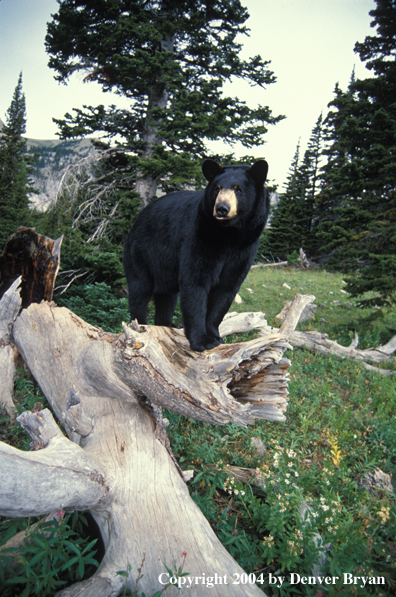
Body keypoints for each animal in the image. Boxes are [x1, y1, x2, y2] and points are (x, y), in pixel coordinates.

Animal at [123, 161, 270, 352]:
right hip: (141, 254)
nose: (221, 208)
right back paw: (141, 325)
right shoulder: (199, 236)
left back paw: (167, 324)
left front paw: (215, 336)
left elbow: (226, 289)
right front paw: (202, 340)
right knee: (140, 291)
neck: (229, 236)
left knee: (167, 295)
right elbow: (196, 283)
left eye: (238, 189)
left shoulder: (245, 250)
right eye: (217, 188)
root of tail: (137, 219)